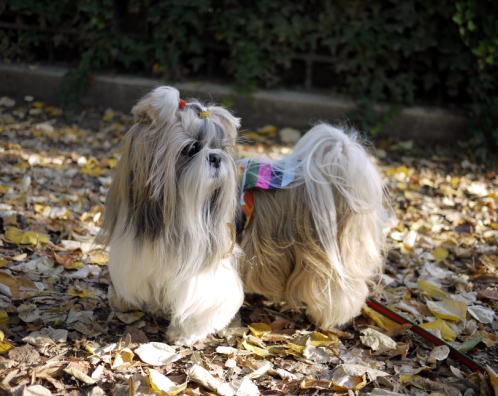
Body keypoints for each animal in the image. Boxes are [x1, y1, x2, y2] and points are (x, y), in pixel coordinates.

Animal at [102, 86, 390, 344]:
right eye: (192, 148)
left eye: (220, 146)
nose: (216, 157)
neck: (166, 220)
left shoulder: (210, 268)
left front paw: (184, 334)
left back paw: (330, 318)